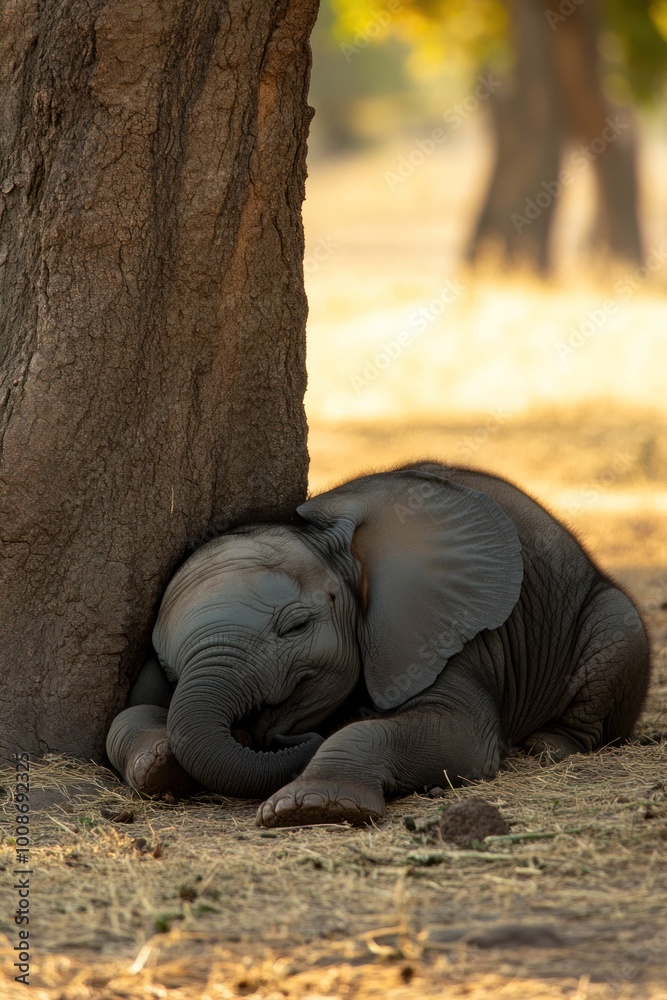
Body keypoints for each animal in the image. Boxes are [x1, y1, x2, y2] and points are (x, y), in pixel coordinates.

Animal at [107, 464, 648, 824]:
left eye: (296, 627)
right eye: (169, 668)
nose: (274, 735)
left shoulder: (433, 636)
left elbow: (461, 738)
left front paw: (309, 809)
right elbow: (124, 716)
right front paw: (160, 766)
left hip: (612, 622)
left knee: (615, 637)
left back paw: (545, 748)